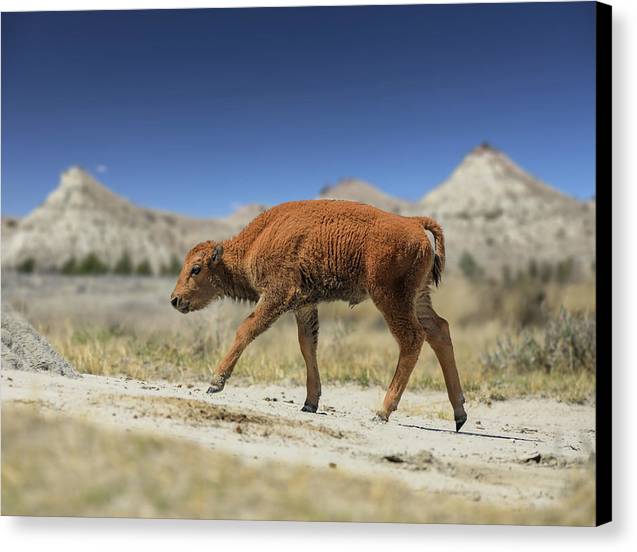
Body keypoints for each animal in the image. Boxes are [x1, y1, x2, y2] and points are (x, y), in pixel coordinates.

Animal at [169, 199, 468, 432]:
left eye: (196, 269)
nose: (175, 299)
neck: (257, 240)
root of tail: (414, 223)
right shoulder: (304, 305)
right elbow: (307, 346)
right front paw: (310, 403)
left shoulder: (278, 295)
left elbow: (247, 329)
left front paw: (215, 383)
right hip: (418, 297)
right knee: (439, 330)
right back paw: (459, 414)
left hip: (390, 297)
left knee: (412, 338)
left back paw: (382, 411)